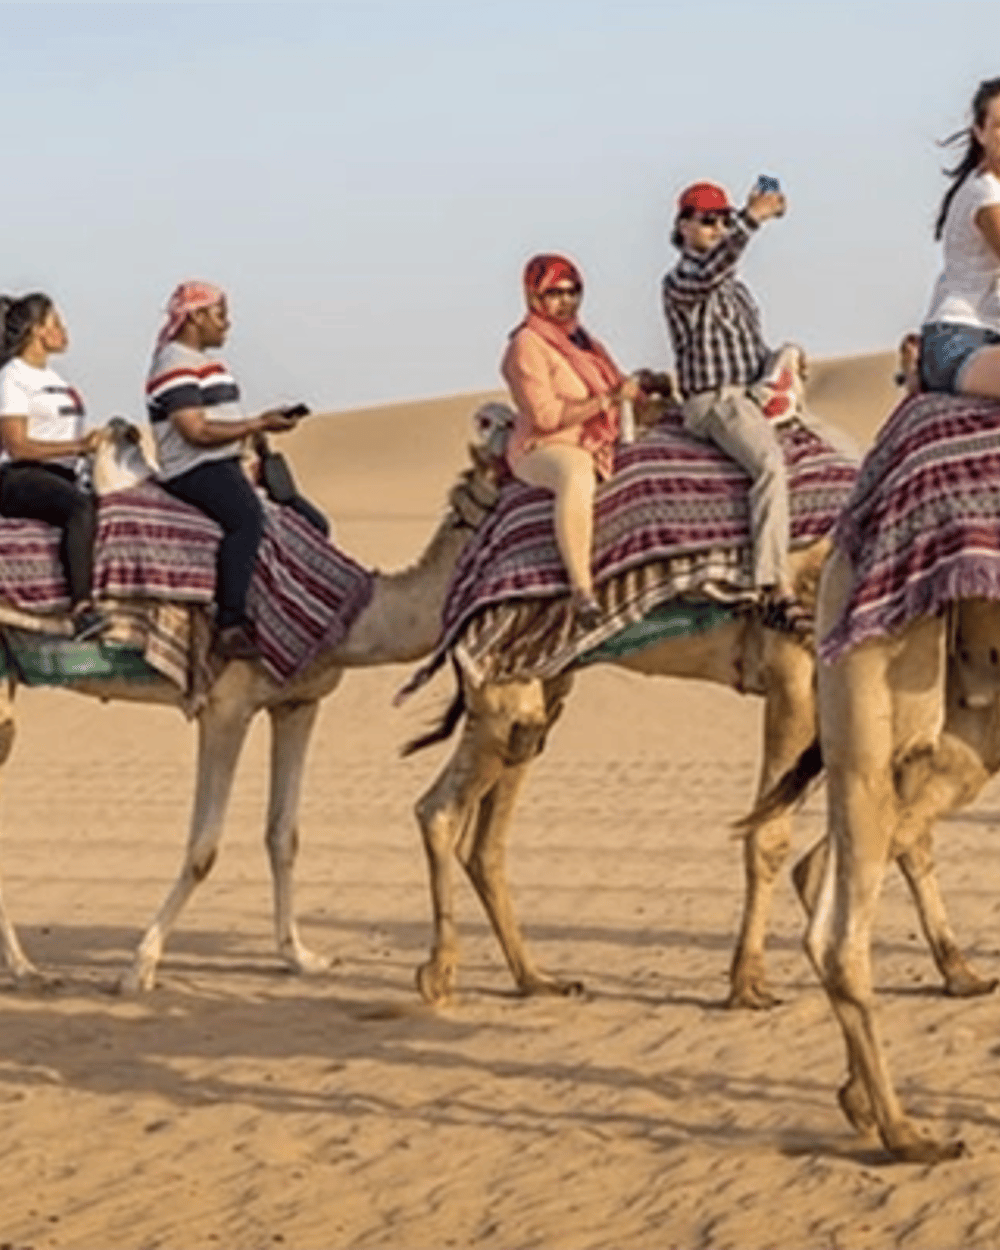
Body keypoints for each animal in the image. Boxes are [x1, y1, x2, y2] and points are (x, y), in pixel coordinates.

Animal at [0, 418, 500, 993]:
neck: (349, 618)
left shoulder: (298, 704)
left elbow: (284, 834)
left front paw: (302, 957)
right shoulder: (226, 707)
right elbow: (204, 848)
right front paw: (139, 967)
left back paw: (23, 968)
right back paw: (26, 968)